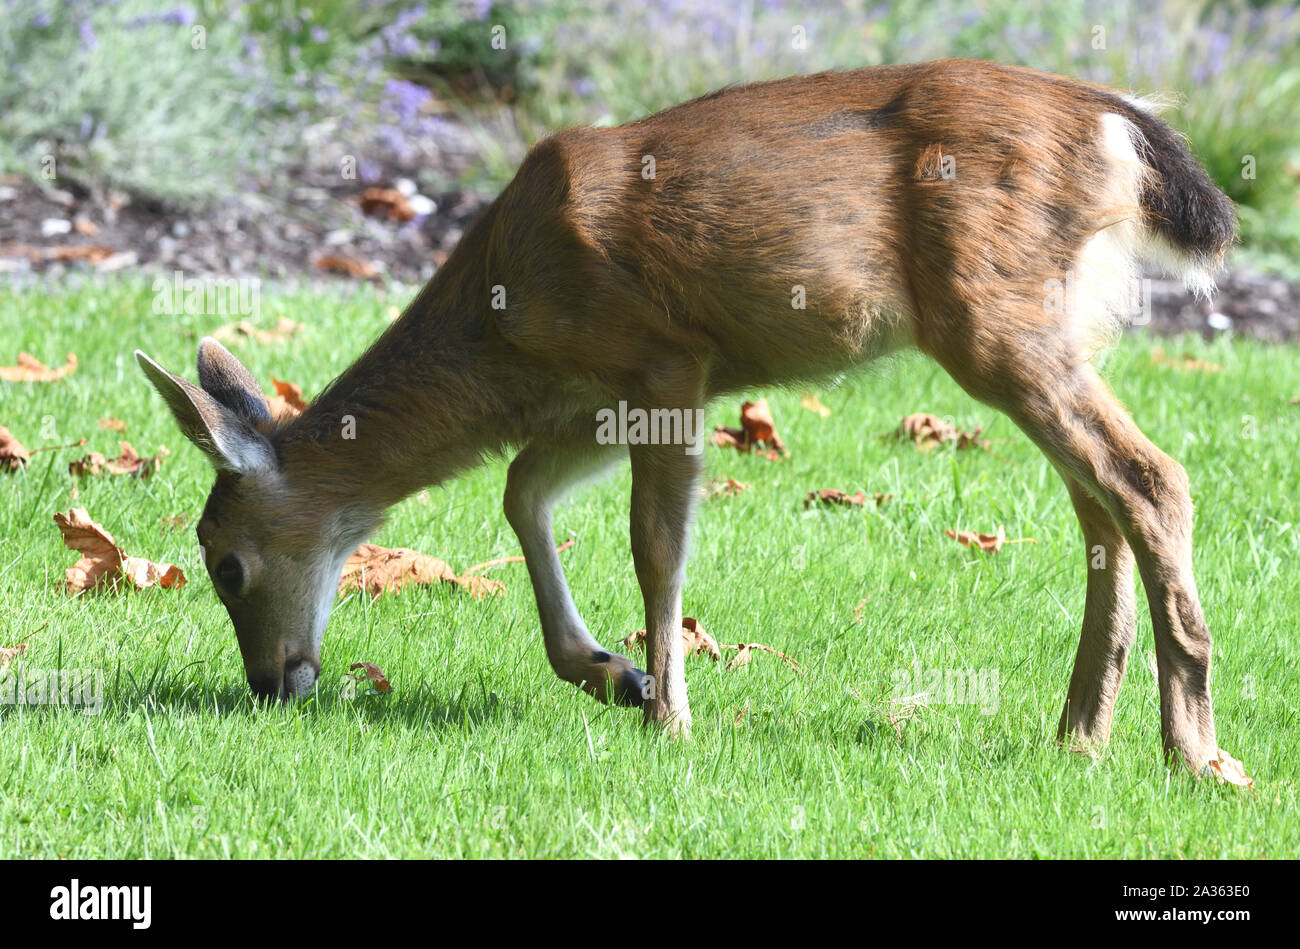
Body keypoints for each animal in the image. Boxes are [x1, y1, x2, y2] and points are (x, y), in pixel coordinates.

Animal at [137, 62, 1242, 780]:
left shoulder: (666, 358)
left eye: (225, 564)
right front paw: (606, 673)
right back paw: (1082, 732)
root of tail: (1121, 124)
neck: (505, 317)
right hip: (1060, 328)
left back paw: (1192, 747)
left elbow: (655, 543)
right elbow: (521, 490)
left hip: (994, 316)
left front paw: (667, 713)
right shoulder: (591, 395)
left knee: (1151, 477)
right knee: (1102, 505)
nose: (271, 682)